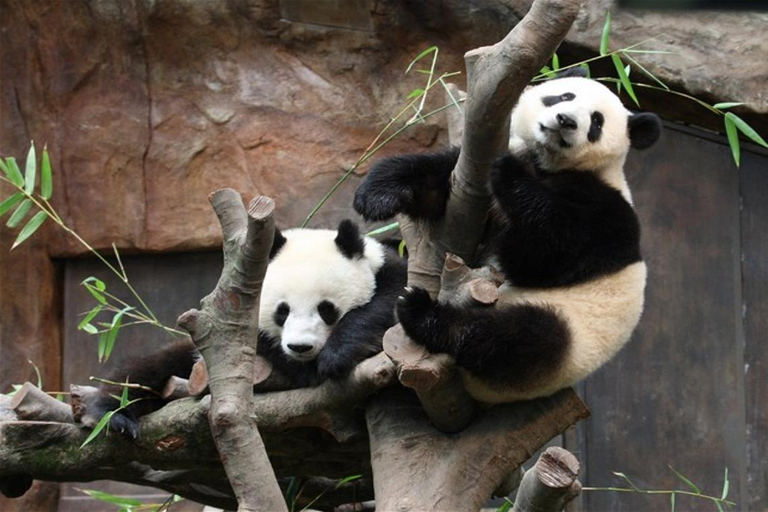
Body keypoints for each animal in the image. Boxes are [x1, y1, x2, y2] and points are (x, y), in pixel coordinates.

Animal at [81, 220, 407, 438]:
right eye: (282, 311)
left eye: (327, 309)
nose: (300, 347)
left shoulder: (392, 271)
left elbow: (389, 305)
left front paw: (337, 355)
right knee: (147, 369)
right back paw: (114, 416)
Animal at [353, 72, 662, 404]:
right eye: (565, 96)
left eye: (596, 122)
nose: (565, 120)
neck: (547, 162)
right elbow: (437, 184)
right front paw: (377, 194)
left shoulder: (607, 209)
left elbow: (547, 252)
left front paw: (510, 174)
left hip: (567, 334)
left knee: (516, 339)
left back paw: (422, 313)